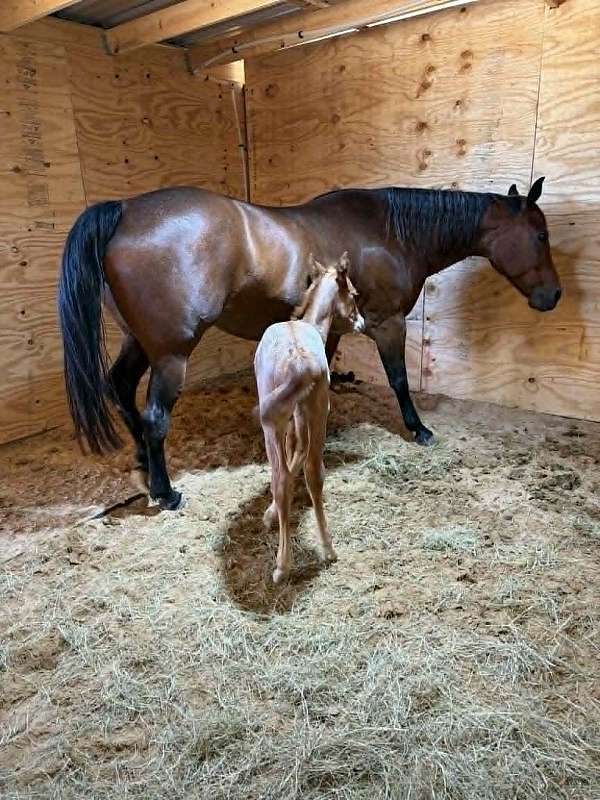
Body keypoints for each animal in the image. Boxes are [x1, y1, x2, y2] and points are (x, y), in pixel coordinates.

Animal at [58, 178, 561, 510]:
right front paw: (418, 428)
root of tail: (123, 211)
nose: (552, 296)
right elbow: (399, 380)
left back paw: (144, 463)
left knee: (120, 389)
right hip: (171, 353)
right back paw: (165, 492)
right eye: (540, 235)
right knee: (154, 417)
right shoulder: (388, 324)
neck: (391, 234)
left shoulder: (332, 330)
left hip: (139, 342)